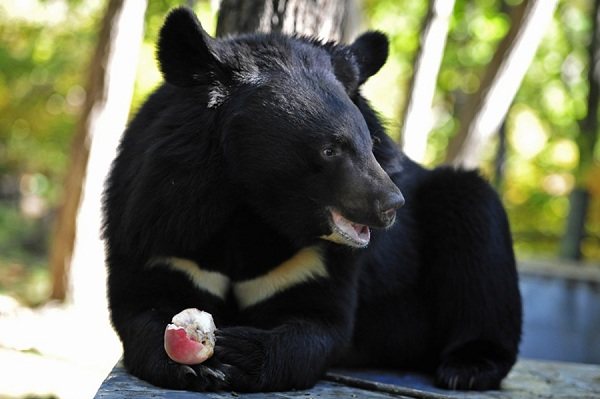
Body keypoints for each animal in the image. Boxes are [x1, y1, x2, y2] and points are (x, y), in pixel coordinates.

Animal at [103, 6, 520, 394]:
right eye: (330, 150)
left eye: (370, 144)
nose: (390, 204)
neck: (252, 209)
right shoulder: (158, 223)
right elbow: (140, 305)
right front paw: (191, 364)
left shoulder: (316, 262)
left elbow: (320, 324)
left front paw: (241, 351)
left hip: (455, 211)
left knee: (478, 234)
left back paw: (468, 366)